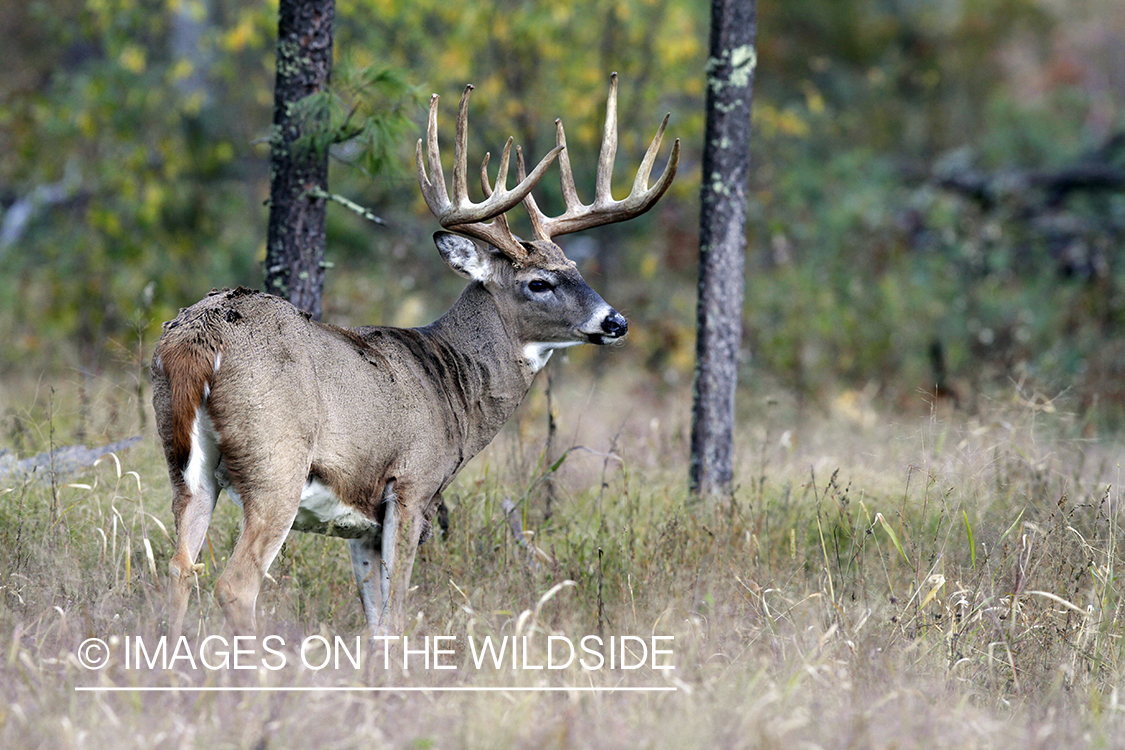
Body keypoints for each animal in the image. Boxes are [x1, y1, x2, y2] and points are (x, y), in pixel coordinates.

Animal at [148, 73, 675, 638]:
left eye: (575, 268)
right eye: (539, 282)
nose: (615, 322)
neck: (452, 386)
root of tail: (197, 338)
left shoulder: (362, 524)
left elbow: (377, 620)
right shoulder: (412, 486)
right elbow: (398, 611)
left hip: (185, 463)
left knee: (179, 569)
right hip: (276, 463)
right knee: (235, 583)